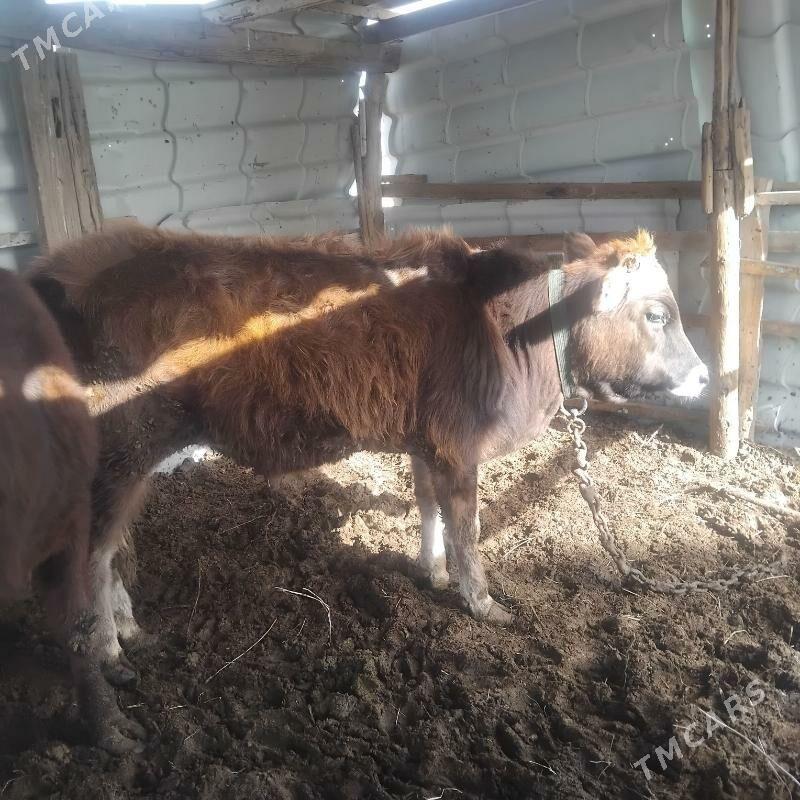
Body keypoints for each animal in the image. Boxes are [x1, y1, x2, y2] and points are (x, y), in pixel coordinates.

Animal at [30, 224, 707, 681]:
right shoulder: (459, 446)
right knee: (94, 554)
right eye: (656, 314)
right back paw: (107, 649)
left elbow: (430, 508)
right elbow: (467, 527)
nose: (705, 378)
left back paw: (126, 627)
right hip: (123, 449)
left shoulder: (426, 442)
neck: (516, 328)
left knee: (111, 550)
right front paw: (483, 603)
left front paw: (431, 570)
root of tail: (65, 268)